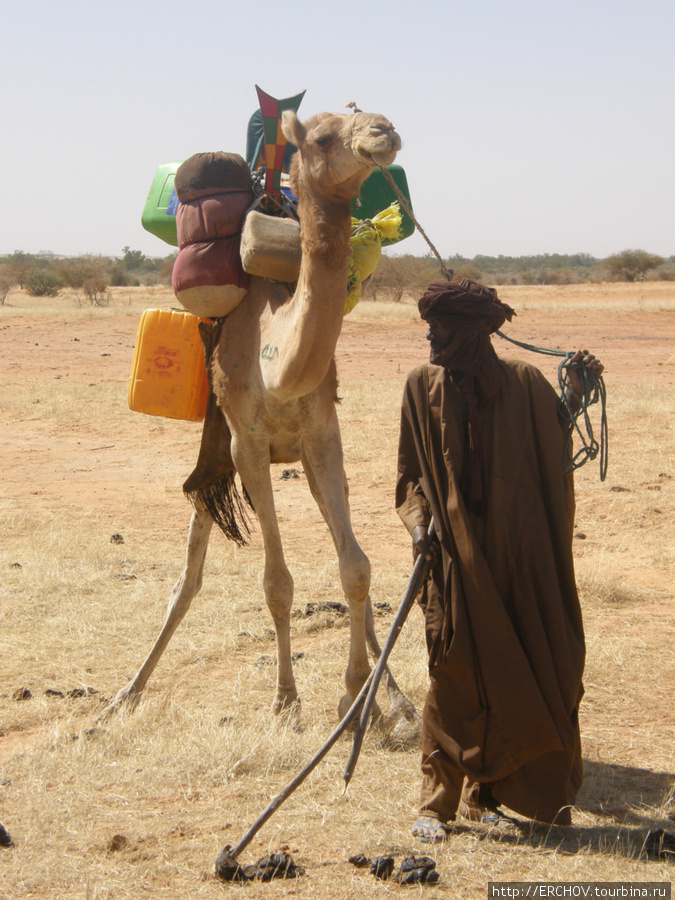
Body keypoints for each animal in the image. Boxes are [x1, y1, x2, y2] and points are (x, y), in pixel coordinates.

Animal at [101, 105, 420, 728]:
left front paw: (361, 696)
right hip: (217, 455)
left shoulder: (323, 436)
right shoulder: (246, 445)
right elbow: (276, 582)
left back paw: (391, 698)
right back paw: (125, 692)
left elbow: (356, 567)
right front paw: (286, 700)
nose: (383, 130)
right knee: (188, 577)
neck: (275, 356)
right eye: (322, 137)